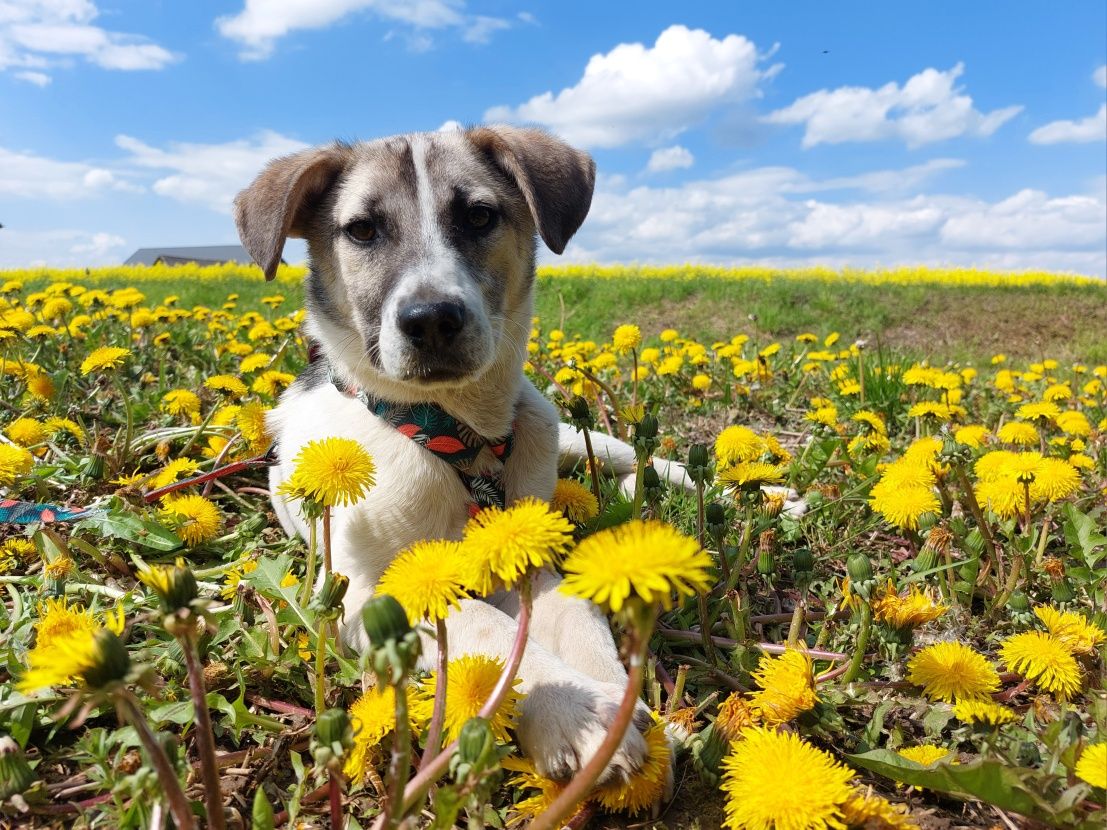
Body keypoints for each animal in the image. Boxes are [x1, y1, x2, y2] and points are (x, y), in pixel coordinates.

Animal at [230, 126, 655, 787]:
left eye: (479, 216)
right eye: (361, 230)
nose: (431, 320)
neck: (459, 437)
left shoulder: (528, 553)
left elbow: (574, 610)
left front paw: (615, 698)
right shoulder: (366, 594)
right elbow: (490, 628)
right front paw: (576, 708)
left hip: (561, 432)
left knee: (636, 456)